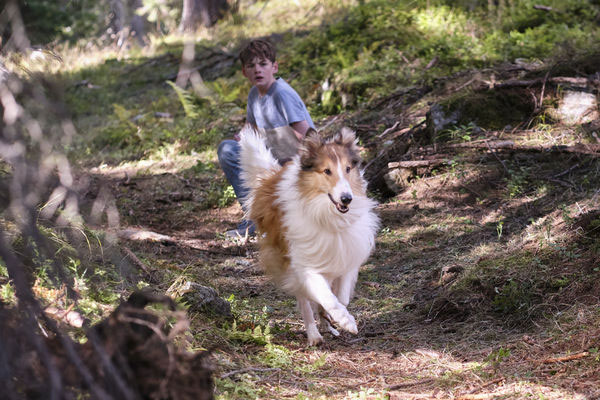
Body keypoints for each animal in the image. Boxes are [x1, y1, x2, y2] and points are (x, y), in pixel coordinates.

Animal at [240, 126, 378, 344]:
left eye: (348, 169)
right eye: (327, 171)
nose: (347, 199)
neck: (328, 215)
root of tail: (272, 177)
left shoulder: (348, 253)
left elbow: (342, 296)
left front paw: (337, 317)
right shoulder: (305, 265)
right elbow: (327, 297)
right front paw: (345, 320)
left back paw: (327, 324)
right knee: (305, 302)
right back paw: (314, 335)